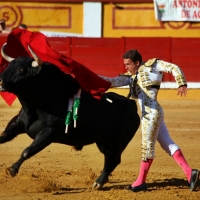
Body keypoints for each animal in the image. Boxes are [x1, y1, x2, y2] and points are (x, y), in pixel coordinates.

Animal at [0, 56, 141, 189]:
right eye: (9, 65)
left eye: (22, 69)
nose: (1, 80)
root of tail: (131, 105)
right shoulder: (17, 123)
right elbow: (4, 136)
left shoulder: (48, 133)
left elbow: (27, 150)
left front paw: (12, 170)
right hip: (103, 141)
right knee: (109, 158)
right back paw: (102, 180)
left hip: (118, 141)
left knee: (114, 159)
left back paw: (98, 183)